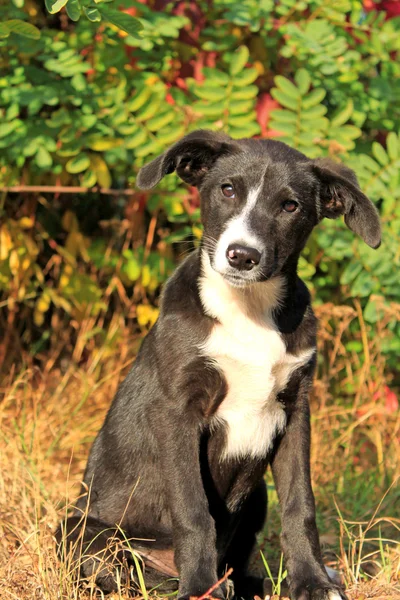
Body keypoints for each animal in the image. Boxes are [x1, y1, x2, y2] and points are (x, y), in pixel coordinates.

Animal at [57, 131, 382, 600]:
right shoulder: (178, 411)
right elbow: (193, 510)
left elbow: (300, 504)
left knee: (236, 560)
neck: (248, 308)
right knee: (121, 568)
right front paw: (197, 588)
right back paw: (190, 582)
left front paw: (312, 582)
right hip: (78, 529)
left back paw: (246, 583)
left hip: (257, 493)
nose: (242, 255)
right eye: (227, 189)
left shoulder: (295, 410)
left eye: (290, 206)